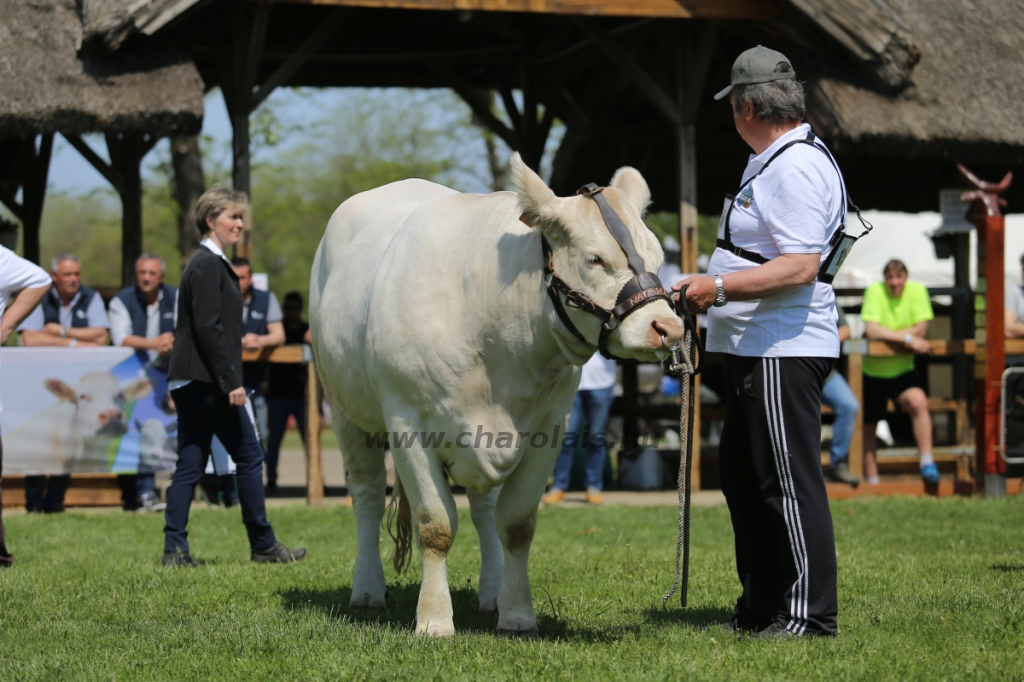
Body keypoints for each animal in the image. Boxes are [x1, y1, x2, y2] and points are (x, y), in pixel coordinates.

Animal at [311, 155, 679, 638]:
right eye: (595, 258)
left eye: (657, 257)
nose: (667, 327)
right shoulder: (407, 424)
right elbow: (435, 525)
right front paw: (434, 620)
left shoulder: (549, 427)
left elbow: (516, 524)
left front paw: (517, 614)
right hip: (344, 410)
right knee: (368, 494)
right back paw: (368, 589)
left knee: (484, 507)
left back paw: (491, 594)